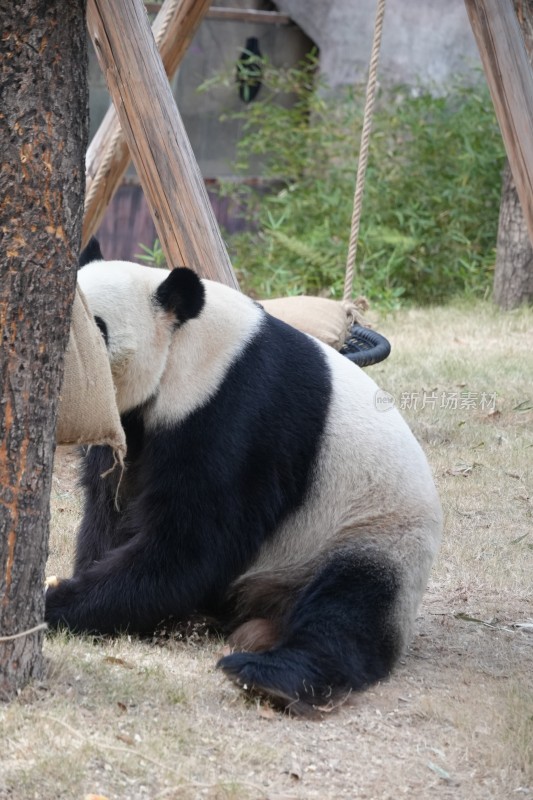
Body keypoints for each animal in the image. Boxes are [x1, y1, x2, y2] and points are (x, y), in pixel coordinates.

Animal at [45, 242, 442, 712]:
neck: (187, 346)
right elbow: (110, 505)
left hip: (375, 530)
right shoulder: (132, 422)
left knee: (351, 606)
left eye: (98, 325)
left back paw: (269, 675)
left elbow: (194, 543)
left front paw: (57, 603)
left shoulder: (238, 413)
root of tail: (269, 610)